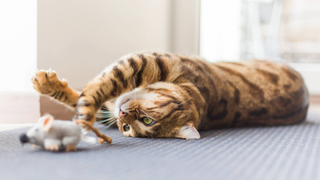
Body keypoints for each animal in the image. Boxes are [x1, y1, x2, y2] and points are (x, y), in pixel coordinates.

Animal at [31, 51, 308, 139]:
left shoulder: (140, 61)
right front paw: (47, 84)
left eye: (144, 122)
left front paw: (84, 112)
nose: (122, 115)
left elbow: (95, 91)